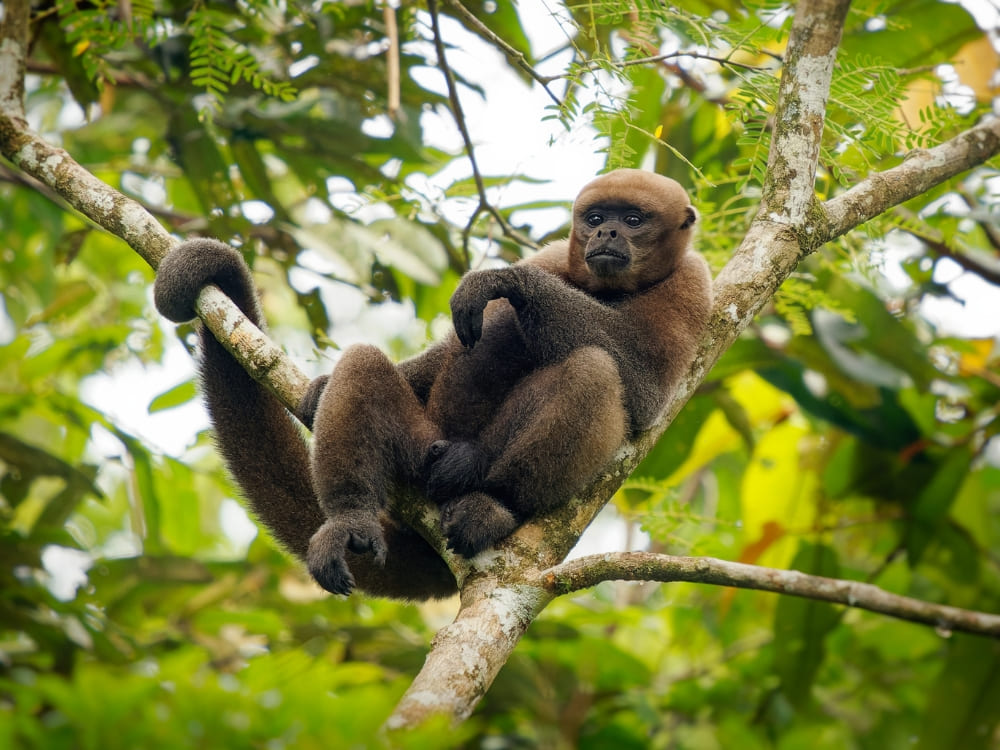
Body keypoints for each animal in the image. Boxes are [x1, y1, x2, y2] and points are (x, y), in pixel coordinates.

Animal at [153, 168, 712, 600]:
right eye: (595, 219)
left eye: (633, 220)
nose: (607, 235)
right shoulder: (556, 257)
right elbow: (449, 351)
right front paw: (323, 385)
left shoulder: (694, 285)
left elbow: (643, 390)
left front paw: (503, 282)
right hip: (420, 443)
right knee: (369, 366)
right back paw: (350, 520)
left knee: (593, 369)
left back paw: (490, 497)